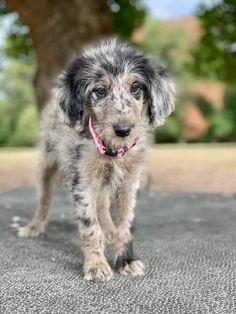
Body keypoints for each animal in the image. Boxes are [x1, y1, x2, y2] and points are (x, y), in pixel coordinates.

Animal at [18, 38, 174, 280]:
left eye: (135, 88)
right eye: (99, 91)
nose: (123, 130)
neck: (112, 151)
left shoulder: (129, 183)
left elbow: (125, 224)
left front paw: (125, 259)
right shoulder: (83, 181)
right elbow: (90, 225)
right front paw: (96, 264)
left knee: (102, 205)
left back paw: (109, 230)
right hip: (47, 162)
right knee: (44, 197)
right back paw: (34, 225)